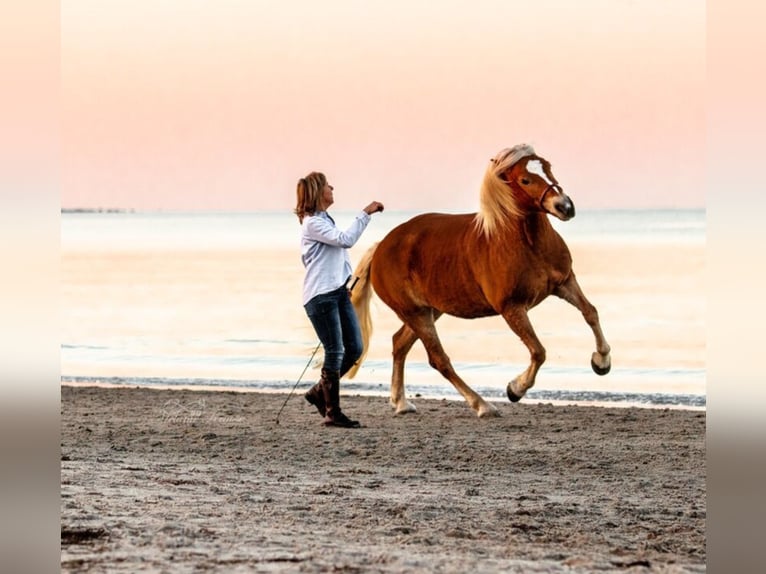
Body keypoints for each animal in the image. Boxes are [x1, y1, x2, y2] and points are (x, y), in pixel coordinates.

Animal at [348, 144, 612, 420]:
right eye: (525, 180)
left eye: (548, 168)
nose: (565, 207)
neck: (526, 243)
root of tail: (381, 247)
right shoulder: (512, 308)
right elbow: (538, 352)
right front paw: (515, 389)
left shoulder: (564, 283)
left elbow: (590, 312)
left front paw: (601, 362)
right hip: (415, 313)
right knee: (439, 359)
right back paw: (483, 405)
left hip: (429, 310)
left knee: (399, 344)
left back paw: (401, 403)